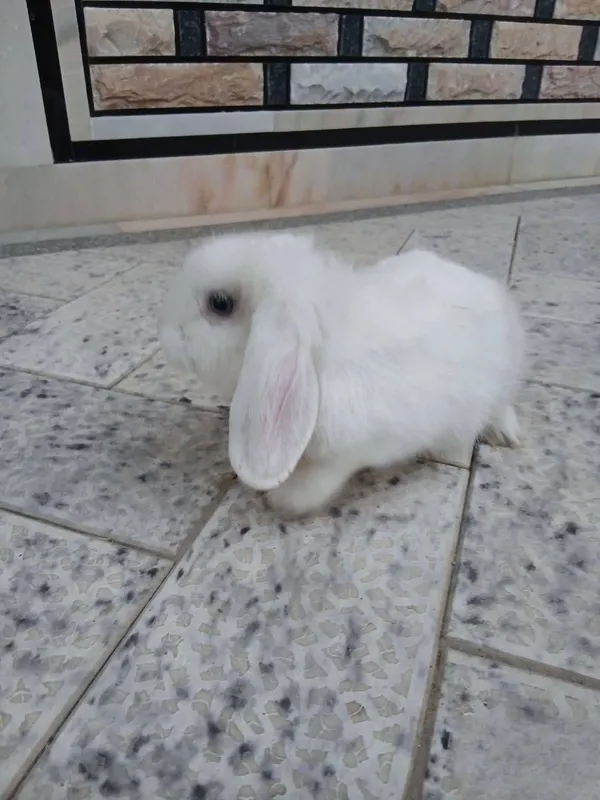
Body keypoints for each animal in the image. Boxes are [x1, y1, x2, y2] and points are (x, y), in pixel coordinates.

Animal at [159, 231, 524, 516]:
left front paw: (283, 498)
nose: (166, 334)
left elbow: (324, 476)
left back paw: (503, 434)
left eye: (220, 303)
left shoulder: (357, 446)